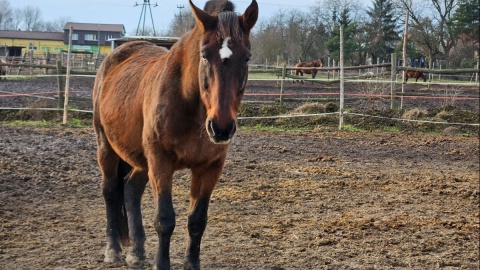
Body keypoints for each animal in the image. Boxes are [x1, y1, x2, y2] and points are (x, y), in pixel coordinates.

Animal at [93, 1, 258, 268]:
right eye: (204, 55)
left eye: (247, 57)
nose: (221, 127)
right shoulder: (160, 162)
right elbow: (165, 219)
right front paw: (161, 263)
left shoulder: (210, 167)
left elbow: (197, 220)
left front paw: (191, 263)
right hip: (106, 146)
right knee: (110, 191)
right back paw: (113, 250)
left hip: (141, 159)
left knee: (130, 191)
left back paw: (137, 251)